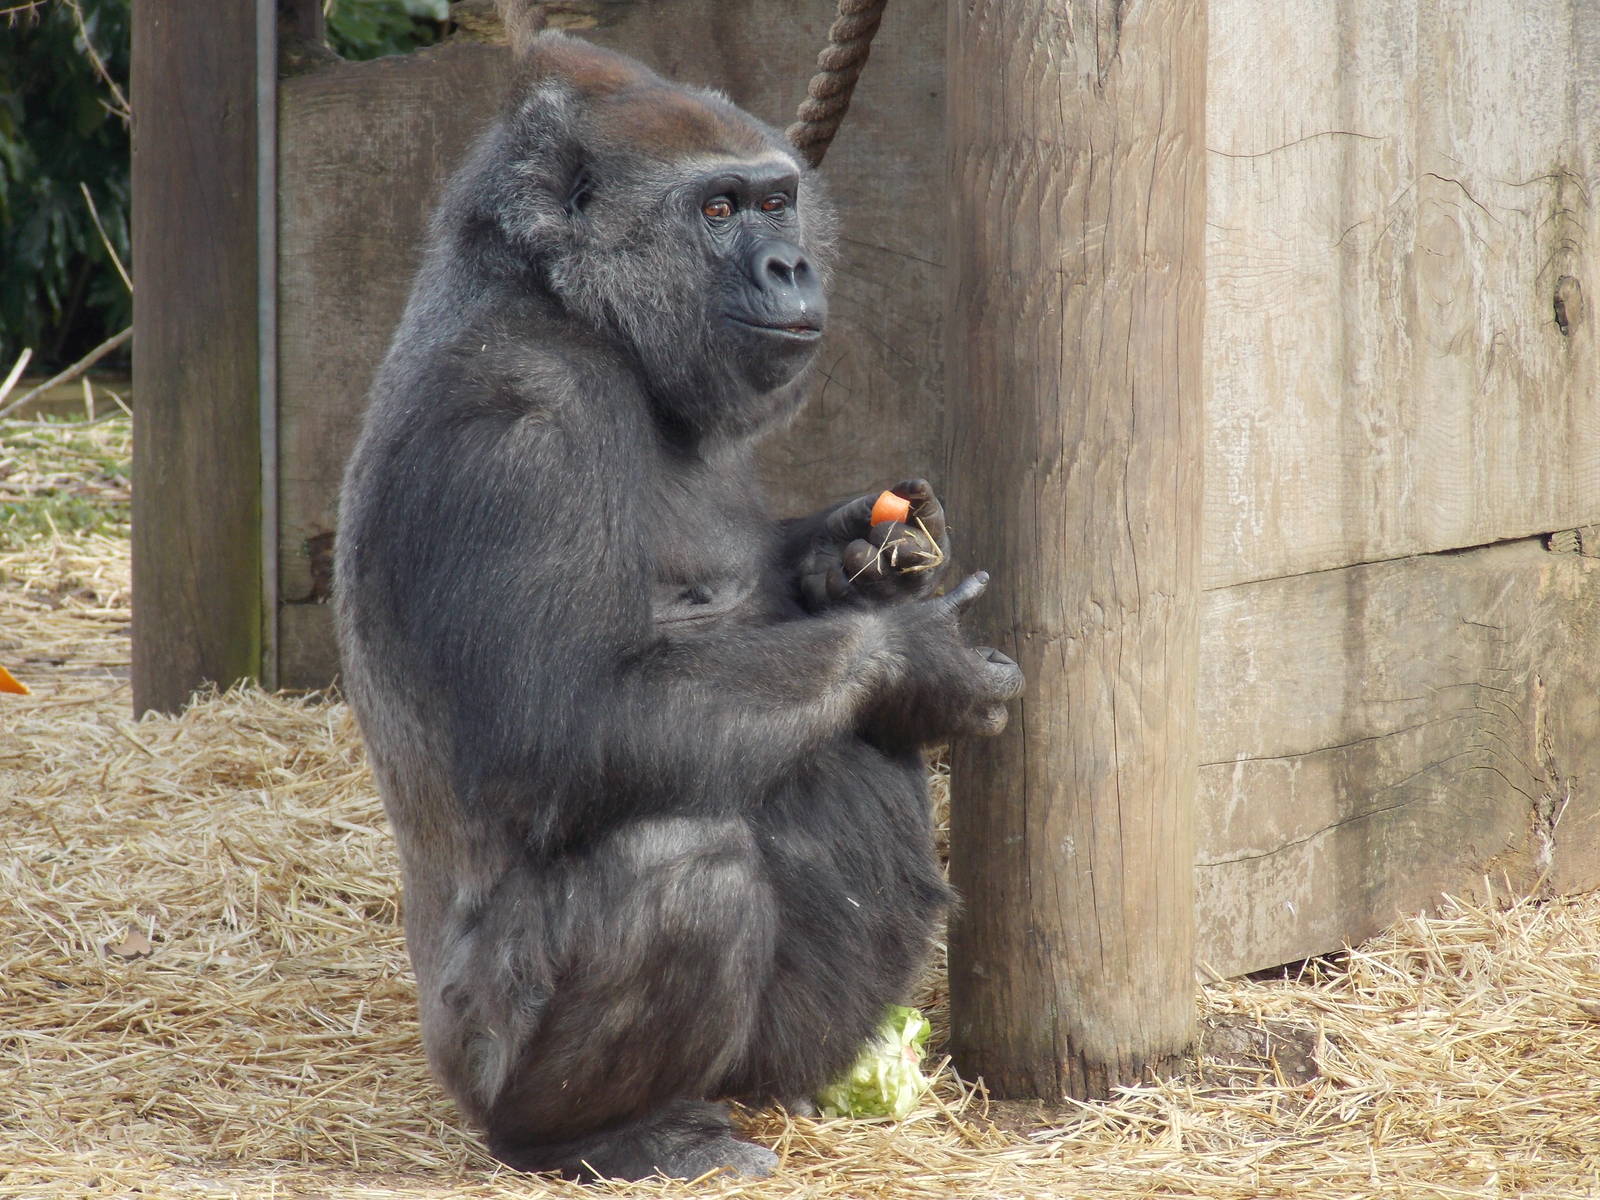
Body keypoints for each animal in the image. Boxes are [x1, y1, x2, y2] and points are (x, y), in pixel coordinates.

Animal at [334, 32, 1023, 1181]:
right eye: (717, 210)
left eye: (778, 202)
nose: (789, 264)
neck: (561, 302)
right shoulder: (518, 430)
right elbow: (557, 727)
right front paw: (912, 656)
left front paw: (858, 559)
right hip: (478, 1061)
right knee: (688, 870)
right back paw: (602, 1132)